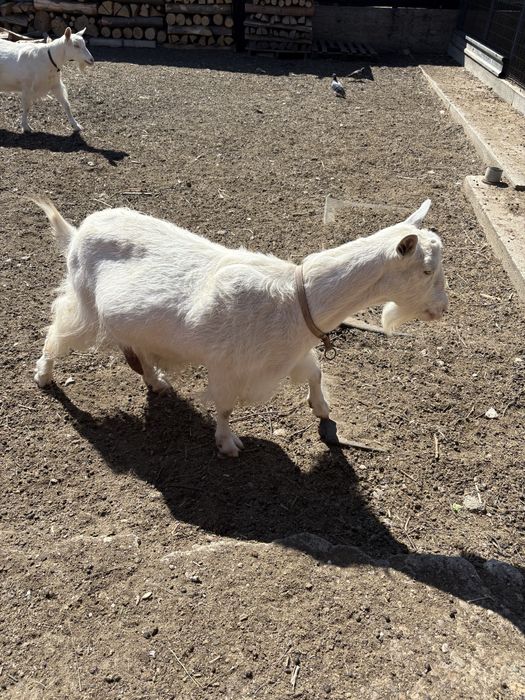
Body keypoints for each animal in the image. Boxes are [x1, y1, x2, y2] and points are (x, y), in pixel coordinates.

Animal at [33, 198, 448, 457]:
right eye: (427, 270)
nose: (443, 309)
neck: (296, 299)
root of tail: (76, 232)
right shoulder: (228, 365)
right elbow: (225, 406)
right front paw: (228, 443)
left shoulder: (290, 355)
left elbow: (315, 373)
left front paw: (322, 409)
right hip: (84, 304)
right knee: (58, 330)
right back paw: (44, 375)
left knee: (135, 350)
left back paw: (157, 381)